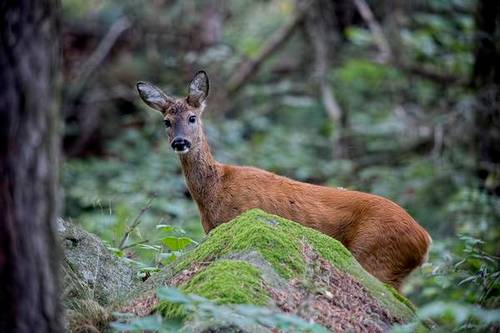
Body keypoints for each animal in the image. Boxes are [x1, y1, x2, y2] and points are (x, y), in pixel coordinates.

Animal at [136, 70, 430, 288]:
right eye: (166, 121)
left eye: (192, 117)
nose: (180, 142)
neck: (214, 189)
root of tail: (425, 240)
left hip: (377, 258)